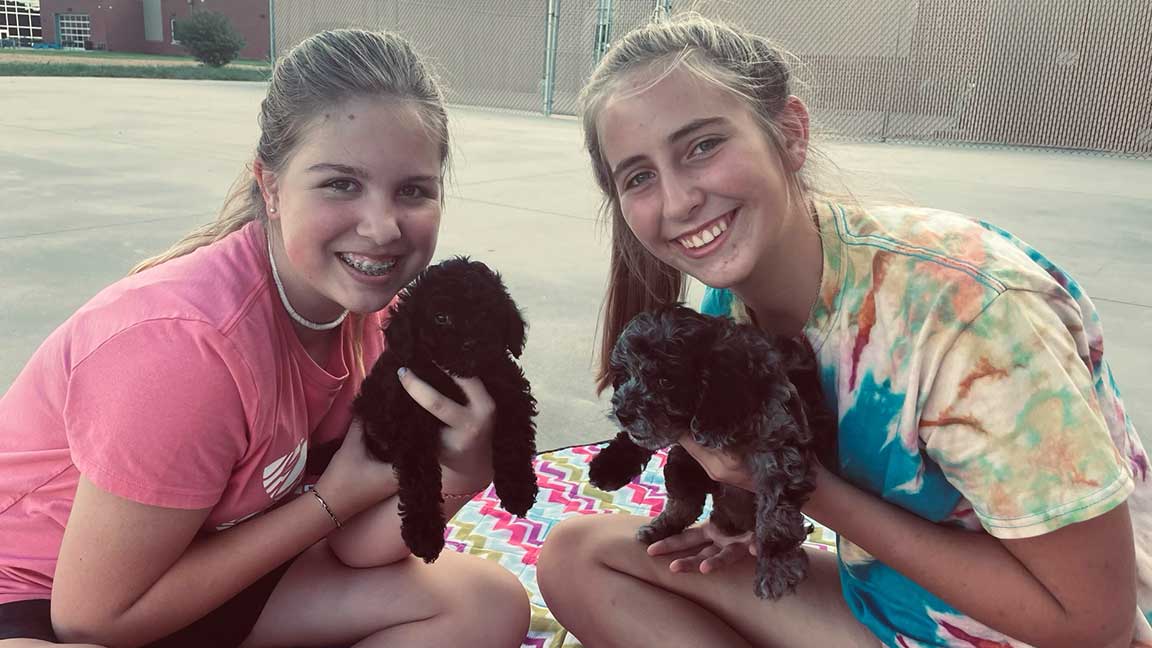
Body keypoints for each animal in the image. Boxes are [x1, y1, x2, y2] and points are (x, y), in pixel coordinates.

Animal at [350, 255, 539, 560]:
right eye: (441, 317)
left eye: (487, 312)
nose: (471, 343)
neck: (453, 378)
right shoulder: (410, 422)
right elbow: (420, 479)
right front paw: (424, 535)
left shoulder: (511, 390)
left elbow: (513, 439)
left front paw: (517, 491)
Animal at [589, 304, 834, 599]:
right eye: (625, 375)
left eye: (665, 381)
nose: (623, 413)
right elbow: (636, 440)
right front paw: (609, 466)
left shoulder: (780, 440)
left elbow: (777, 510)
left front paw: (777, 564)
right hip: (683, 462)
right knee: (684, 500)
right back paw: (661, 528)